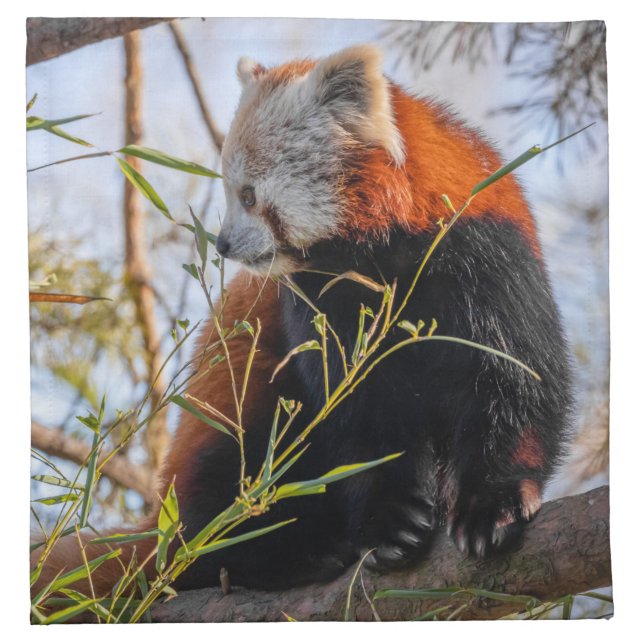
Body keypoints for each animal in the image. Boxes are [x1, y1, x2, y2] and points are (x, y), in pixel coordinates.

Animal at [33, 44, 572, 595]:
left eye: (248, 195)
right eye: (229, 192)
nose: (222, 245)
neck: (383, 255)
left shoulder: (485, 256)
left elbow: (514, 383)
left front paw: (493, 504)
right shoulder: (318, 305)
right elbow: (355, 416)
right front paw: (389, 523)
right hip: (226, 423)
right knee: (229, 486)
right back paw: (288, 553)